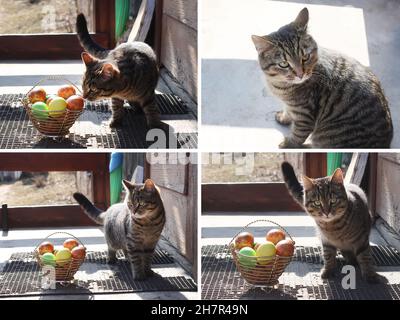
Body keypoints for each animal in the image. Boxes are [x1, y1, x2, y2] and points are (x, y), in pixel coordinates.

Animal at [252, 7, 392, 148]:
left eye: (305, 57)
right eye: (284, 64)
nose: (300, 74)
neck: (280, 85)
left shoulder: (305, 116)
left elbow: (298, 135)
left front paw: (287, 144)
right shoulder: (290, 105)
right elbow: (287, 110)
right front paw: (284, 117)